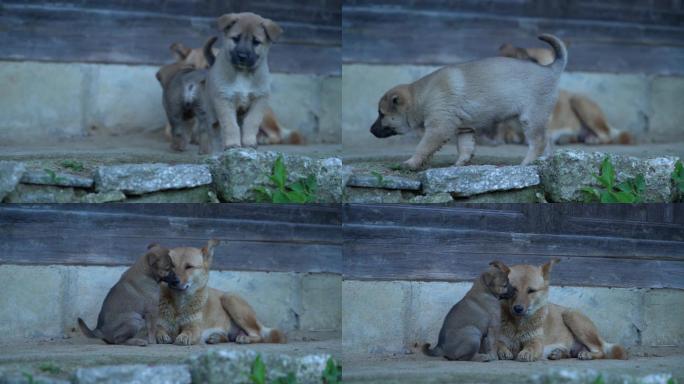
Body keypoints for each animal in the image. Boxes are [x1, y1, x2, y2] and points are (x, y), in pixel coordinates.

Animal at [155, 240, 284, 344]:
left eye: (189, 267)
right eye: (171, 266)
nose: (173, 281)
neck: (179, 304)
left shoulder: (194, 327)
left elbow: (189, 331)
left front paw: (184, 336)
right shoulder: (160, 324)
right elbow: (159, 331)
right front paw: (162, 335)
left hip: (229, 298)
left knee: (259, 335)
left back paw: (245, 338)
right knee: (228, 337)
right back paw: (216, 337)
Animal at [208, 12, 284, 150]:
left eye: (256, 42)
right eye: (236, 38)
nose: (242, 56)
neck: (243, 74)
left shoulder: (259, 100)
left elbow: (251, 122)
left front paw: (249, 142)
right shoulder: (224, 99)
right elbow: (230, 124)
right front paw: (232, 143)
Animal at [368, 34, 568, 170]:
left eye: (381, 114)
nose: (370, 130)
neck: (422, 95)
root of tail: (550, 69)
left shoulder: (438, 128)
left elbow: (422, 148)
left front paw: (410, 163)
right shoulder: (464, 129)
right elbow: (465, 148)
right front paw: (459, 164)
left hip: (529, 118)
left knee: (538, 141)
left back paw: (526, 163)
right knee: (548, 142)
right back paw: (545, 162)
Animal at [494, 260, 628, 362]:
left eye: (531, 291)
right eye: (513, 289)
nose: (518, 308)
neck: (518, 324)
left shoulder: (536, 341)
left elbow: (531, 346)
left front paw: (526, 352)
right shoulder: (497, 339)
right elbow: (499, 344)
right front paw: (503, 351)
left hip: (571, 315)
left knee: (601, 351)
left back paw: (587, 354)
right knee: (569, 353)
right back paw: (558, 353)